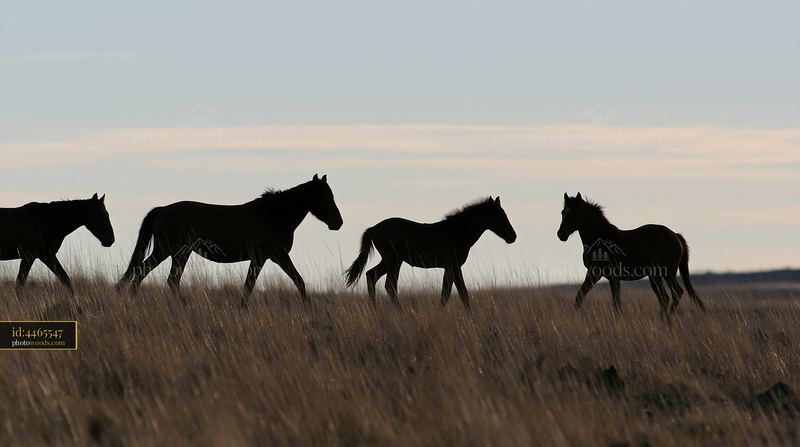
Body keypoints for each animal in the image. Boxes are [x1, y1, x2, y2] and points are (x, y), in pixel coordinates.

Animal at [116, 175, 343, 303]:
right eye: (325, 197)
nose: (338, 223)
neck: (274, 215)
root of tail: (162, 210)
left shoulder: (273, 257)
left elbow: (298, 281)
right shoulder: (267, 256)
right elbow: (250, 285)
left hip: (179, 253)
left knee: (169, 279)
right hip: (167, 250)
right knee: (145, 272)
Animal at [345, 197, 517, 309]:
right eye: (500, 216)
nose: (513, 237)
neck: (458, 231)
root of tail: (373, 228)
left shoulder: (449, 267)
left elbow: (446, 292)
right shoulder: (454, 265)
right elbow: (462, 293)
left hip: (389, 261)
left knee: (371, 275)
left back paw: (374, 309)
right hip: (393, 260)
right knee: (389, 285)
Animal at [557, 193, 705, 316]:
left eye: (575, 212)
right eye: (563, 212)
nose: (561, 234)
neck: (601, 240)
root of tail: (676, 235)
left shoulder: (611, 276)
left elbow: (616, 302)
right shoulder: (594, 274)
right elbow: (580, 296)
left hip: (667, 273)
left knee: (676, 293)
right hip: (655, 276)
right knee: (665, 297)